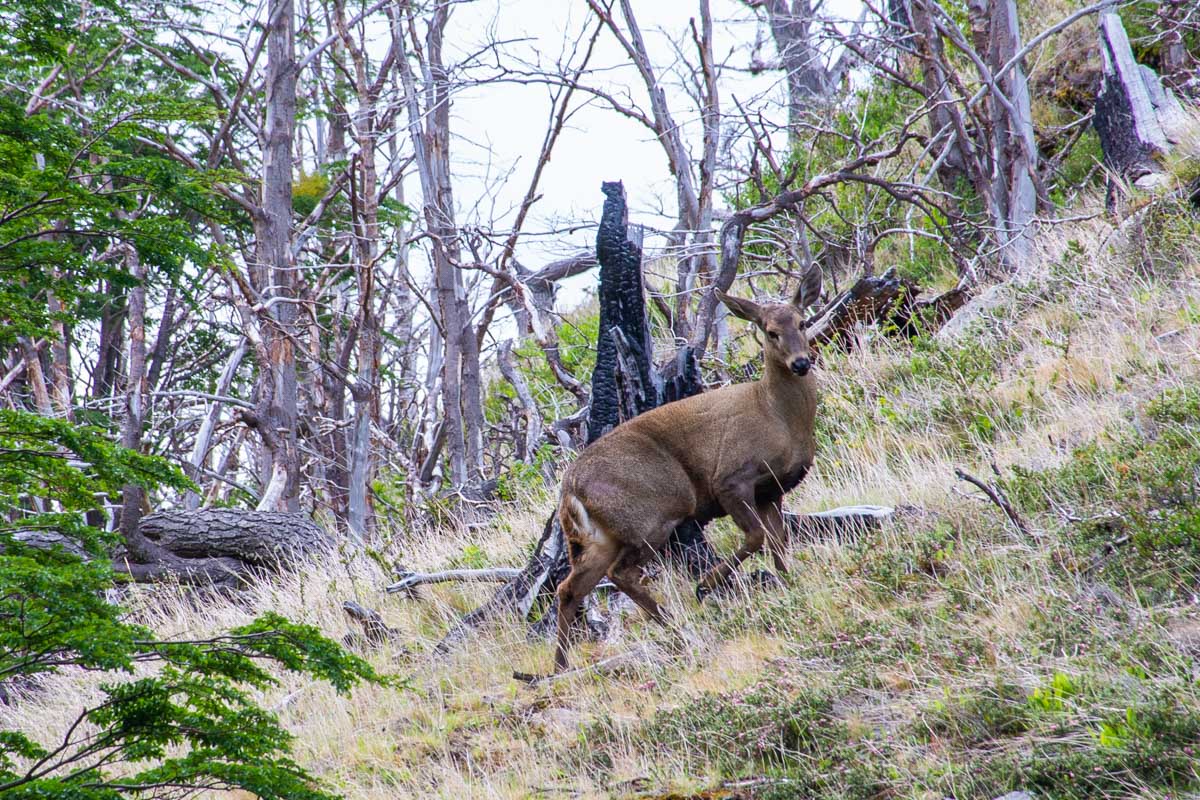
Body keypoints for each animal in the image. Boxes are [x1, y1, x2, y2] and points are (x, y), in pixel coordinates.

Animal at [551, 277, 820, 672]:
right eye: (770, 331)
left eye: (802, 323)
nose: (801, 362)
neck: (777, 416)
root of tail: (569, 490)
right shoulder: (731, 479)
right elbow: (756, 537)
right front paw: (705, 585)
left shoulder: (772, 489)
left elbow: (778, 542)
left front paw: (788, 581)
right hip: (653, 516)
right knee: (619, 573)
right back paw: (672, 620)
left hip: (601, 538)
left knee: (570, 587)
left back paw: (561, 666)